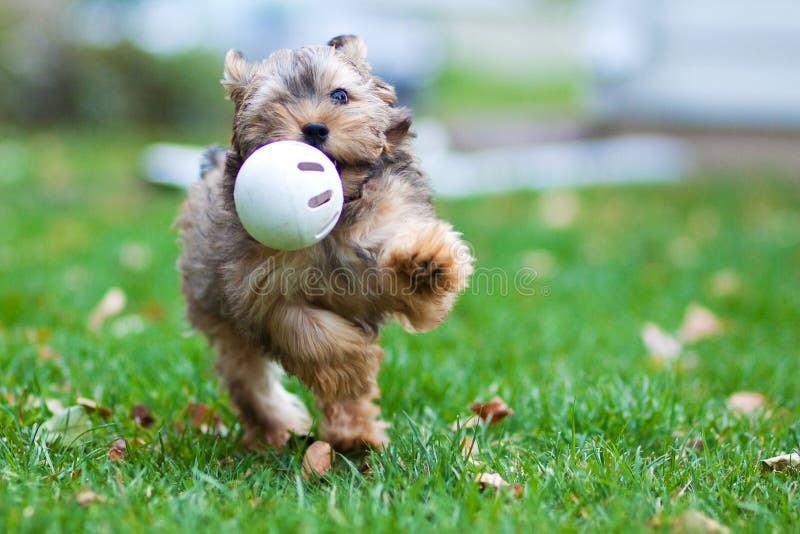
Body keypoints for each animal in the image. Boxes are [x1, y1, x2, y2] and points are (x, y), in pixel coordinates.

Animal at [177, 34, 476, 452]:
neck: (338, 215)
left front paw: (425, 262)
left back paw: (356, 435)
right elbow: (310, 334)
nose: (315, 128)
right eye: (277, 103)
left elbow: (408, 270)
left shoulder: (388, 222)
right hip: (224, 323)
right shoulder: (262, 290)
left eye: (340, 95)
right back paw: (280, 429)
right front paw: (351, 365)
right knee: (250, 383)